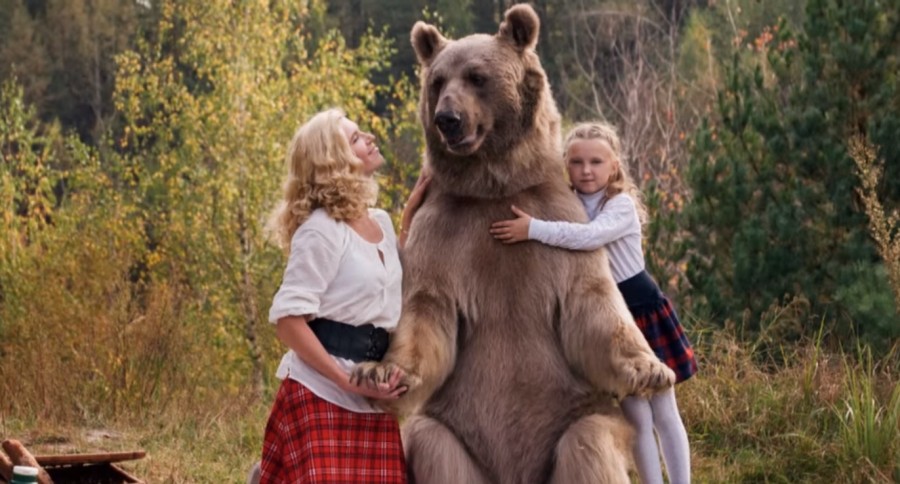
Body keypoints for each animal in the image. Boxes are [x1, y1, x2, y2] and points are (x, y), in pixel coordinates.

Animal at [356, 4, 672, 484]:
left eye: (477, 76)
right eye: (437, 81)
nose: (448, 119)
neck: (495, 188)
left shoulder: (558, 221)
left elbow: (592, 303)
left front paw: (650, 367)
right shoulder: (444, 233)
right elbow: (425, 310)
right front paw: (380, 374)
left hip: (577, 412)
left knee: (588, 446)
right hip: (455, 428)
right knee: (434, 447)